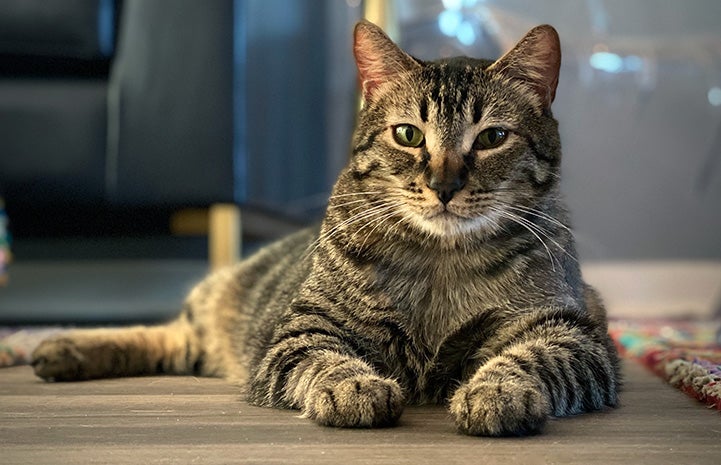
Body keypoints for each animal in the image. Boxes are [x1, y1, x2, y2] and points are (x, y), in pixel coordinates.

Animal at [31, 21, 620, 436]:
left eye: (493, 137)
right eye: (408, 134)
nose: (443, 185)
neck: (441, 260)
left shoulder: (573, 332)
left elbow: (529, 357)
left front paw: (498, 391)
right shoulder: (301, 330)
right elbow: (326, 359)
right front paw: (355, 385)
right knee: (169, 331)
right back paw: (58, 346)